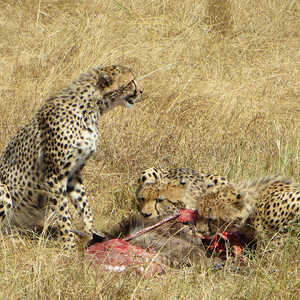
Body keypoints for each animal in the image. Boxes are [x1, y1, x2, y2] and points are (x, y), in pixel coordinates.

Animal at [0, 63, 143, 248]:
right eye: (131, 81)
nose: (141, 91)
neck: (91, 110)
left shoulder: (74, 173)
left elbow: (84, 204)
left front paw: (91, 231)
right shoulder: (54, 176)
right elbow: (63, 212)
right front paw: (68, 243)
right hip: (4, 189)